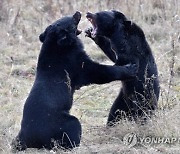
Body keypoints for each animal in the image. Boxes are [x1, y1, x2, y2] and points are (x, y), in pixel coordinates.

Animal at [11, 11, 138, 151]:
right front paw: (131, 68)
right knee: (72, 129)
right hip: (63, 123)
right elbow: (99, 72)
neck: (56, 44)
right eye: (71, 20)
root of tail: (24, 138)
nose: (78, 12)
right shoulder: (76, 63)